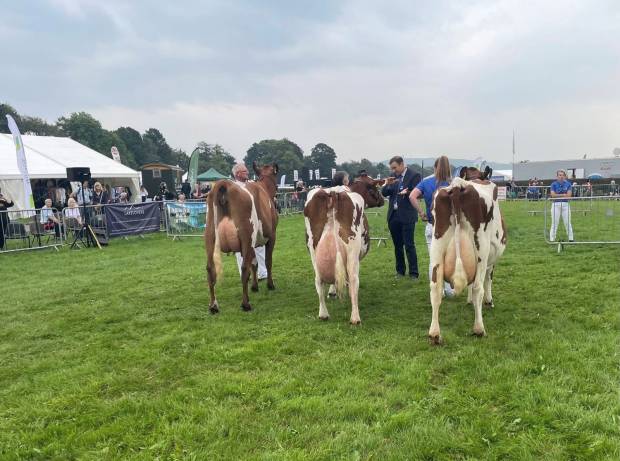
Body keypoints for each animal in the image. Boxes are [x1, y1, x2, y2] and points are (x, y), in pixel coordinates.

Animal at [206, 162, 278, 312]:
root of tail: (225, 184)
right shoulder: (271, 236)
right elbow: (267, 261)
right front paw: (270, 285)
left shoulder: (253, 243)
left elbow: (255, 263)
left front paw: (255, 286)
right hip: (246, 236)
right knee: (244, 268)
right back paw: (245, 304)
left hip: (209, 237)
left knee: (210, 269)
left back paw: (213, 305)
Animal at [428, 168, 506, 342]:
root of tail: (458, 185)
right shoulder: (491, 260)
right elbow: (488, 279)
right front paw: (489, 302)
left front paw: (469, 301)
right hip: (481, 249)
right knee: (478, 287)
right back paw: (479, 329)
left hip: (437, 246)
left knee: (435, 288)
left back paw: (435, 334)